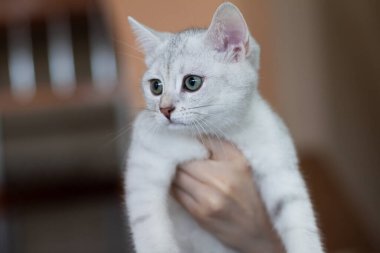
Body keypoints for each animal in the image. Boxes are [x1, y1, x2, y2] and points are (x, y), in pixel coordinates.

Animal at [125, 2, 324, 253]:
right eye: (156, 87)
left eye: (192, 82)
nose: (164, 109)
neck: (212, 133)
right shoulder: (144, 169)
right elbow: (150, 232)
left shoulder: (278, 162)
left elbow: (299, 219)